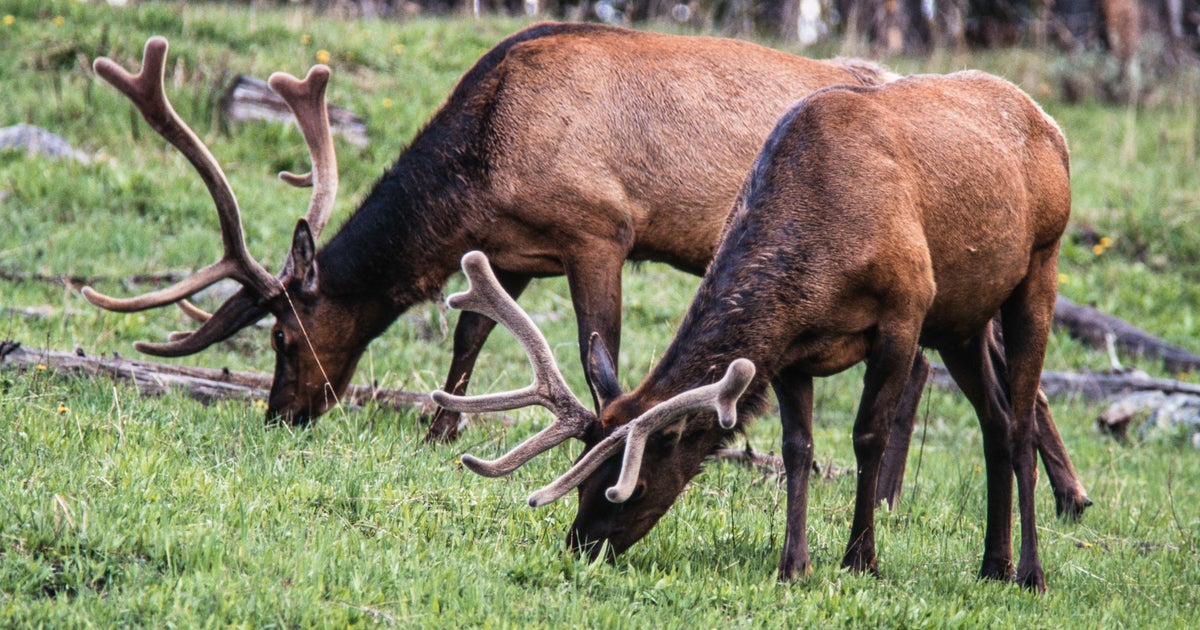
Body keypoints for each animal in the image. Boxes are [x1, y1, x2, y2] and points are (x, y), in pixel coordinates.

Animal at [84, 24, 1086, 519]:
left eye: (285, 336)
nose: (282, 414)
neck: (481, 161)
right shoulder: (512, 248)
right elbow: (470, 333)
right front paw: (441, 433)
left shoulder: (600, 229)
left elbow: (601, 367)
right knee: (984, 369)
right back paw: (1052, 500)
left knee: (970, 369)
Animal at [434, 69, 1071, 592]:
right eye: (583, 474)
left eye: (631, 486)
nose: (580, 544)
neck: (822, 253)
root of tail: (1048, 121)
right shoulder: (790, 347)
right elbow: (797, 448)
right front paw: (794, 565)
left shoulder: (905, 308)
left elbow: (868, 435)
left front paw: (860, 559)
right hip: (962, 320)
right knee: (994, 421)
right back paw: (992, 564)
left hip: (1038, 266)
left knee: (1019, 421)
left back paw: (1030, 573)